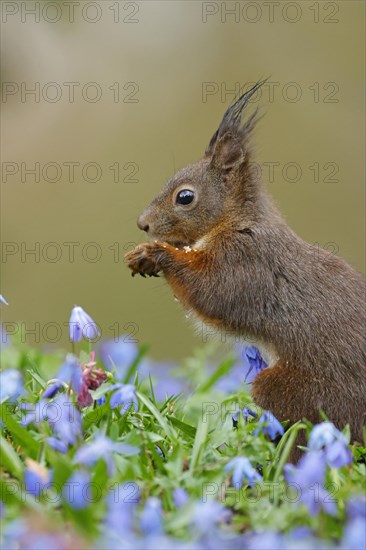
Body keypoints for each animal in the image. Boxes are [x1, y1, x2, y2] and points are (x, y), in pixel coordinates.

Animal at [126, 80, 366, 460]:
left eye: (185, 197)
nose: (143, 224)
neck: (238, 221)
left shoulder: (247, 261)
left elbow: (211, 292)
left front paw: (157, 253)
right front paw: (145, 256)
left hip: (303, 392)